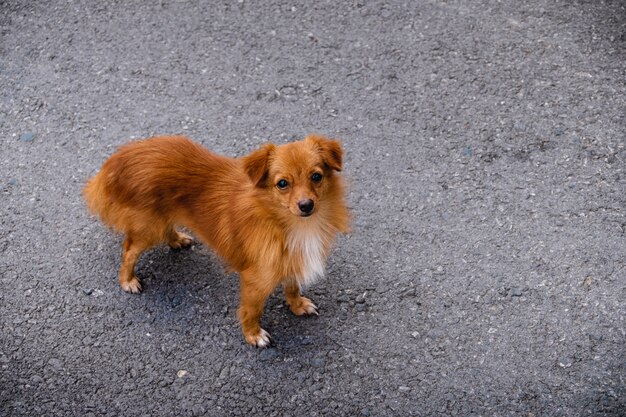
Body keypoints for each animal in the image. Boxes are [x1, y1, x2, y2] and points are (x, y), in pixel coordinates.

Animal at [81, 135, 352, 346]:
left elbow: (293, 286)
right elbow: (252, 309)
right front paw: (253, 335)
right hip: (149, 227)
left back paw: (177, 239)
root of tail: (119, 158)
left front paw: (297, 305)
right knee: (128, 250)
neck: (291, 225)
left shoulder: (291, 259)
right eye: (282, 184)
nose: (306, 205)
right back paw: (127, 279)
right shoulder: (256, 278)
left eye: (316, 177)